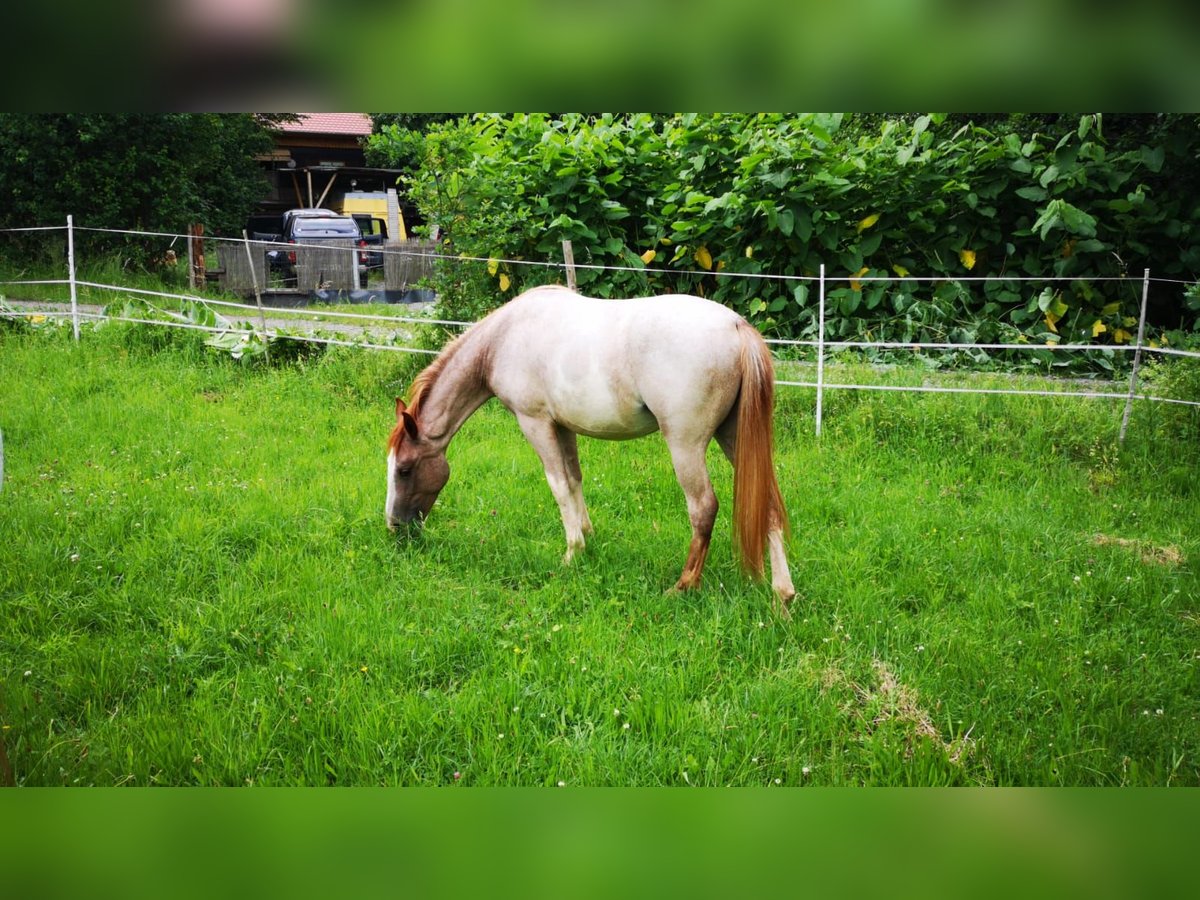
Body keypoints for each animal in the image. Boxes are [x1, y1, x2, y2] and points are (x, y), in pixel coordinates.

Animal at [386, 285, 796, 619]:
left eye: (404, 469)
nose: (394, 526)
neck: (503, 340)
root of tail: (737, 327)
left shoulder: (536, 423)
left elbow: (557, 485)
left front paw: (572, 553)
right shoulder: (563, 427)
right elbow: (574, 480)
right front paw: (587, 536)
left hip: (685, 445)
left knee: (703, 508)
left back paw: (684, 585)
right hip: (733, 438)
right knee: (770, 506)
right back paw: (783, 595)